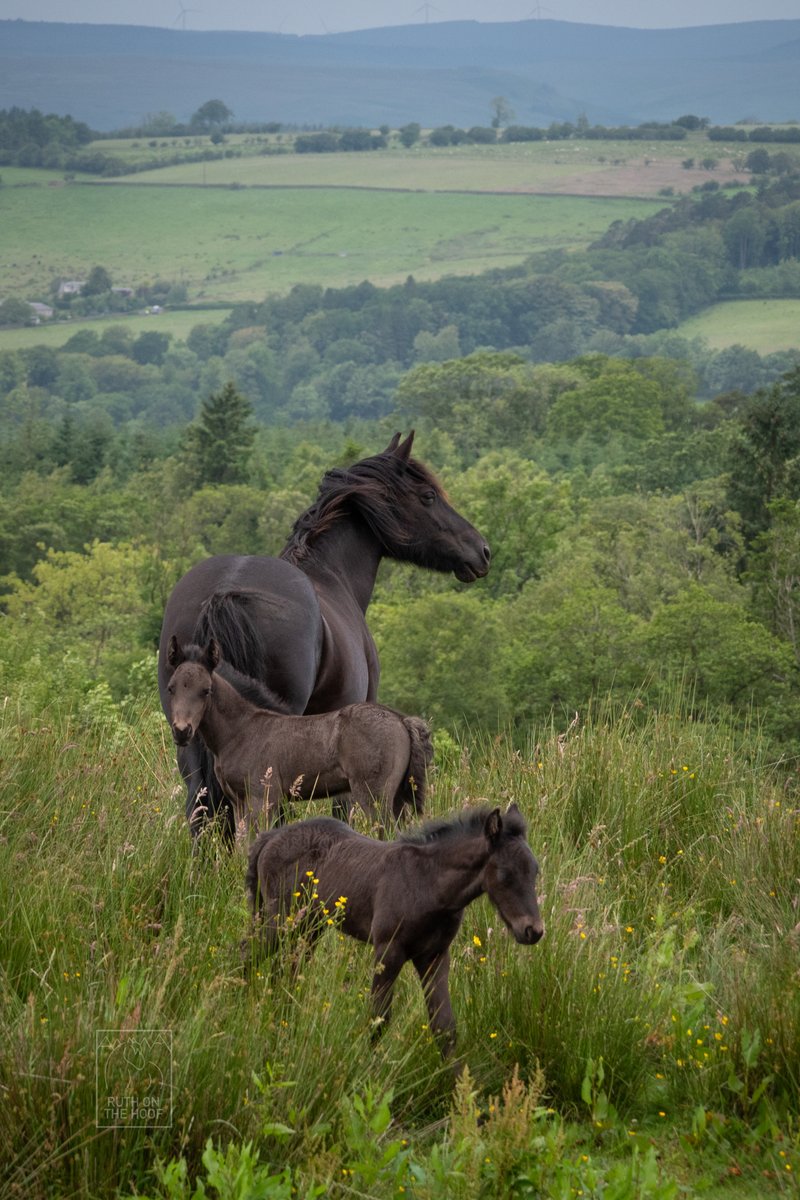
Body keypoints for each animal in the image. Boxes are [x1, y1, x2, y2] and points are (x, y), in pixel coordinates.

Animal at [165, 638, 434, 835]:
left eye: (206, 690)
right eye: (171, 688)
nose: (182, 731)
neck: (241, 730)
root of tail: (401, 720)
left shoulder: (262, 798)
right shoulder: (239, 801)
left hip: (374, 796)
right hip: (397, 798)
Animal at [245, 801, 544, 1056]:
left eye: (535, 871)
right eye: (505, 874)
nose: (534, 930)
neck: (429, 885)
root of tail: (270, 837)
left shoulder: (434, 956)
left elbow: (444, 1027)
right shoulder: (388, 950)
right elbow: (378, 1019)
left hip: (309, 928)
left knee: (287, 971)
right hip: (281, 921)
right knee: (248, 954)